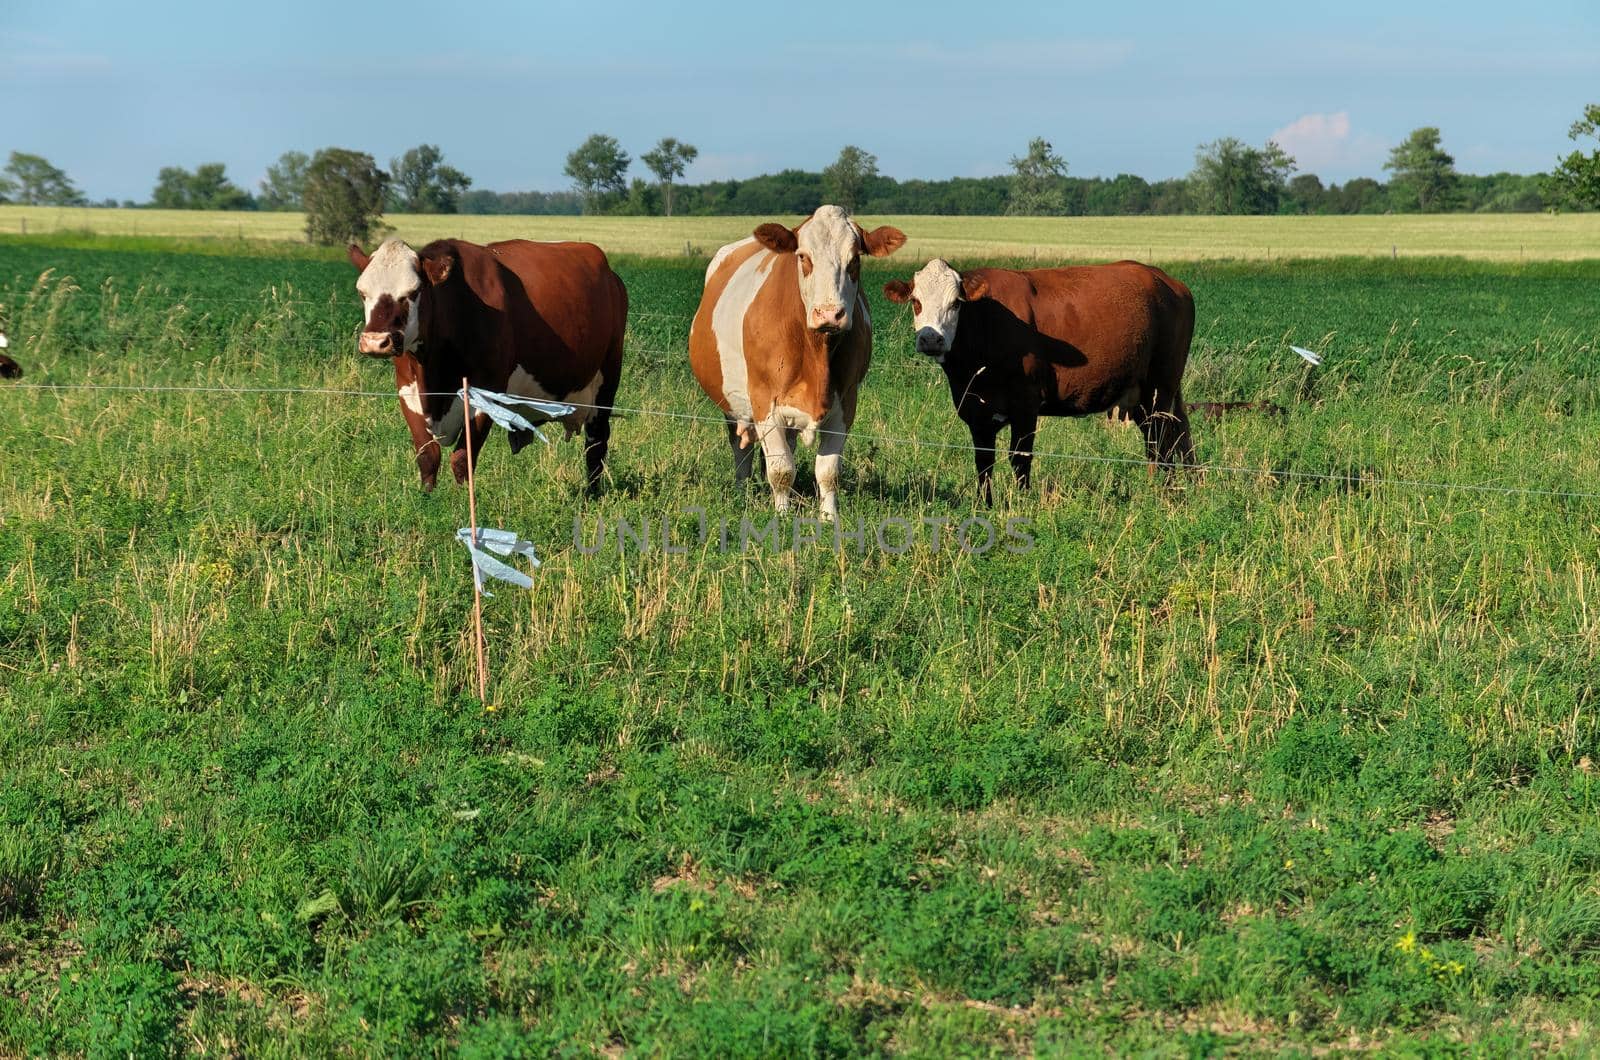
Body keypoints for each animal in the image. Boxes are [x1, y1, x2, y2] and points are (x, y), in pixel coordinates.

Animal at [350, 236, 624, 493]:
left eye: (413, 292)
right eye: (362, 293)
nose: (375, 342)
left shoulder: (486, 393)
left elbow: (462, 459)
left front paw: (460, 502)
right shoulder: (408, 392)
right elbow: (428, 457)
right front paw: (426, 499)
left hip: (606, 380)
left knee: (596, 443)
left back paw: (591, 495)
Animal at [691, 204, 908, 521]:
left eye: (855, 259)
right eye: (803, 256)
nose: (829, 314)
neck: (816, 352)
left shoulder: (846, 404)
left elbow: (828, 472)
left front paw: (829, 517)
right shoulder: (764, 403)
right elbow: (781, 470)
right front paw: (782, 516)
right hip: (732, 405)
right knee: (741, 450)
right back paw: (742, 492)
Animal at [883, 259, 1196, 505]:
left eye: (956, 303)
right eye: (916, 302)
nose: (930, 339)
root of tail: (1166, 280)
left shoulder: (1026, 404)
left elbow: (1020, 458)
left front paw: (1022, 503)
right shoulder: (975, 410)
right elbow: (984, 462)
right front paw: (985, 505)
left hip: (1159, 387)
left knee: (1162, 443)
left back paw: (1163, 494)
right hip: (1146, 395)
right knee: (1169, 439)